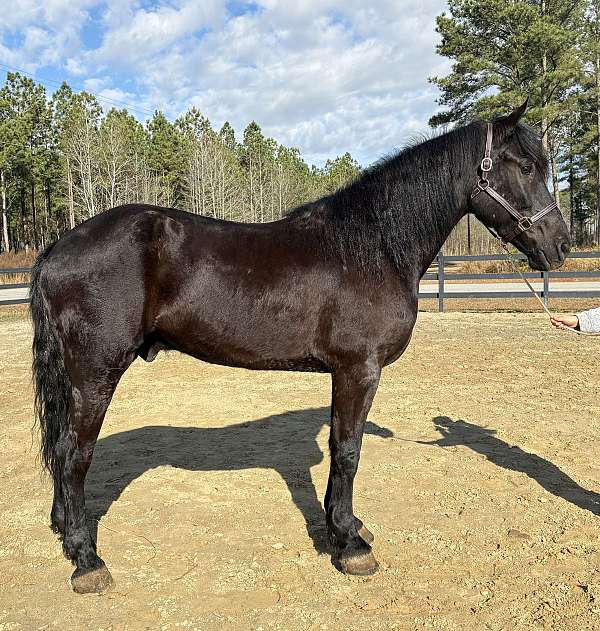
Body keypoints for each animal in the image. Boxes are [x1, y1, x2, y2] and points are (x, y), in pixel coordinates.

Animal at [30, 103, 568, 592]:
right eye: (525, 167)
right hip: (95, 374)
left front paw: (344, 526)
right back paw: (87, 560)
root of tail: (58, 247)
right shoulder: (358, 369)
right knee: (73, 455)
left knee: (62, 453)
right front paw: (350, 546)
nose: (560, 245)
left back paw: (66, 533)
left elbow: (342, 447)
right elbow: (347, 450)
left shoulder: (343, 373)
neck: (372, 247)